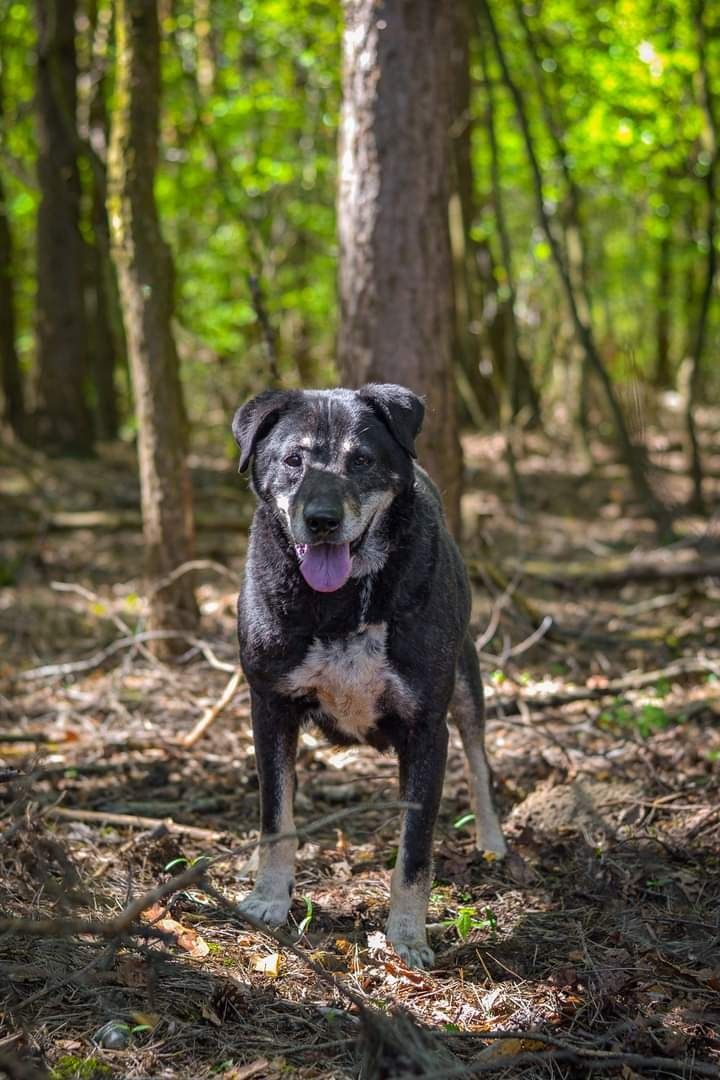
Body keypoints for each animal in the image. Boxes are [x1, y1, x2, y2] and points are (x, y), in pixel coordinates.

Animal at [234, 384, 505, 967]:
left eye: (361, 460)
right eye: (293, 460)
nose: (322, 519)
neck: (342, 606)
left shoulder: (427, 727)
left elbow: (414, 851)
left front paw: (407, 936)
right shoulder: (269, 706)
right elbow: (276, 817)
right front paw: (269, 899)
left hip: (467, 682)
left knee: (479, 762)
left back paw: (493, 842)